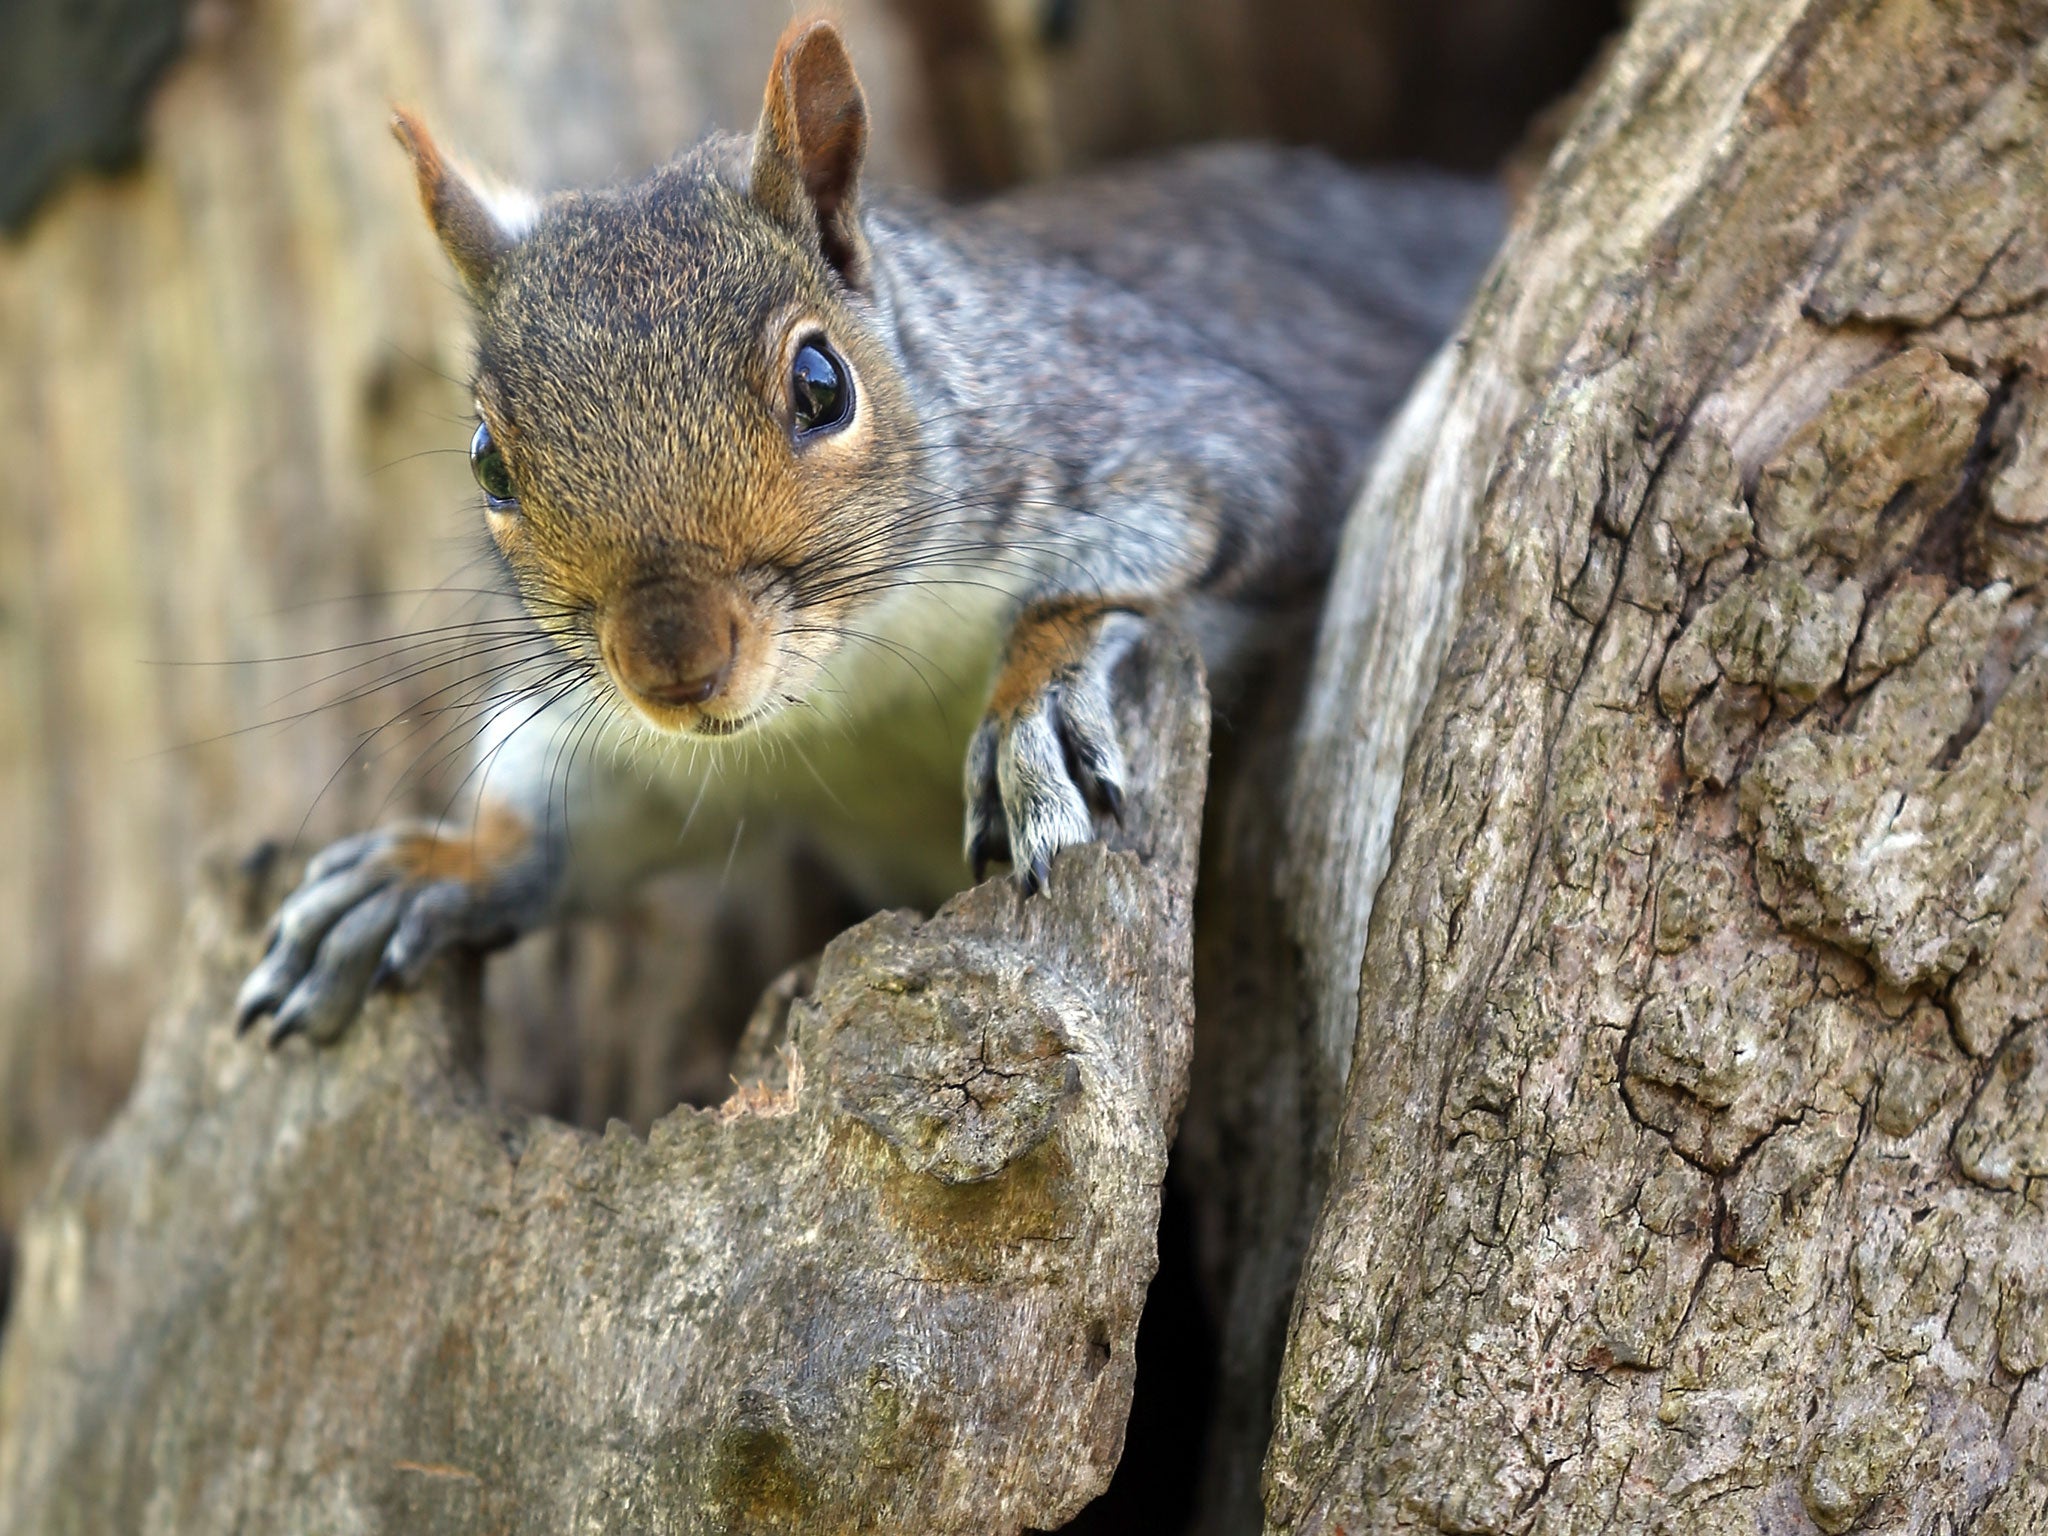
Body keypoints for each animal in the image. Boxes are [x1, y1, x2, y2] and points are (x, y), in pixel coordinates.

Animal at [235, 18, 1507, 1048]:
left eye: (820, 385)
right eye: (487, 462)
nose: (671, 665)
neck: (853, 685)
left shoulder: (1188, 437)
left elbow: (1146, 557)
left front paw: (1033, 706)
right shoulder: (644, 741)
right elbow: (575, 813)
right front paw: (428, 869)